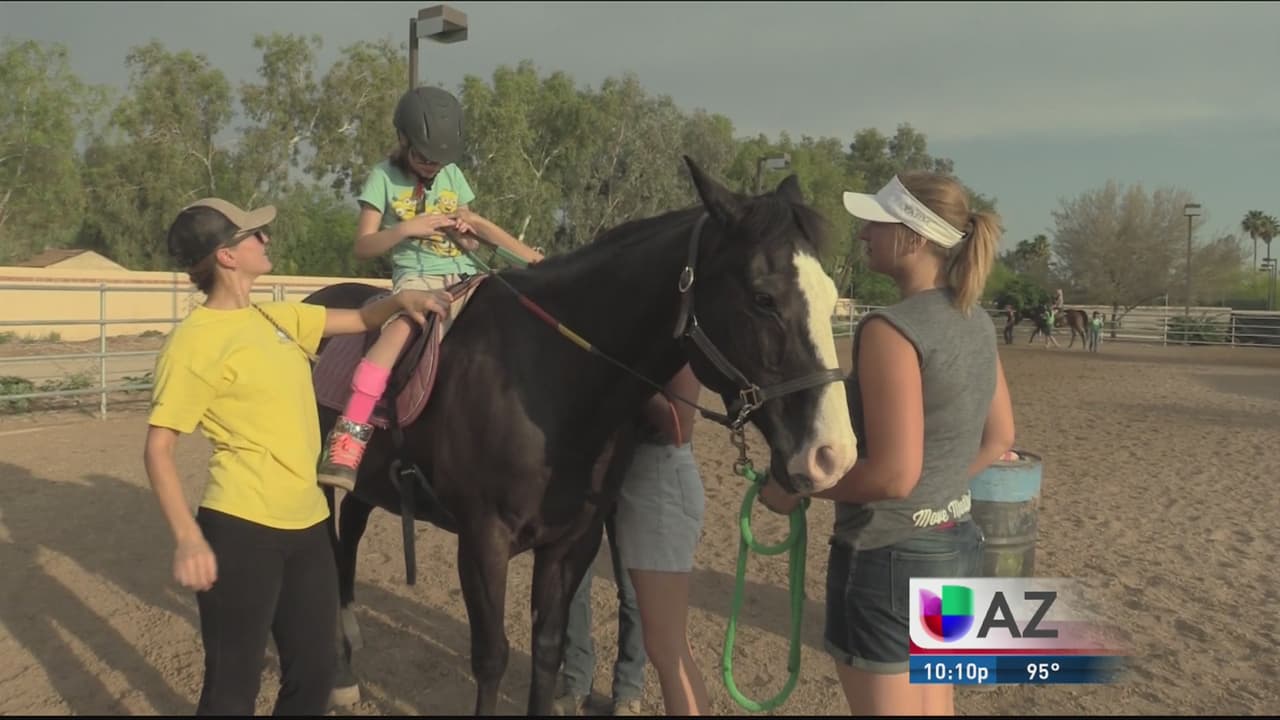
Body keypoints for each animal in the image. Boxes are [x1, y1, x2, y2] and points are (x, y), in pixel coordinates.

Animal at [302, 156, 859, 715]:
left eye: (833, 297)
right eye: (764, 297)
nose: (833, 455)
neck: (545, 378)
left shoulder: (573, 540)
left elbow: (548, 649)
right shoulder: (483, 539)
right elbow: (491, 657)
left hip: (371, 486)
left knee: (349, 538)